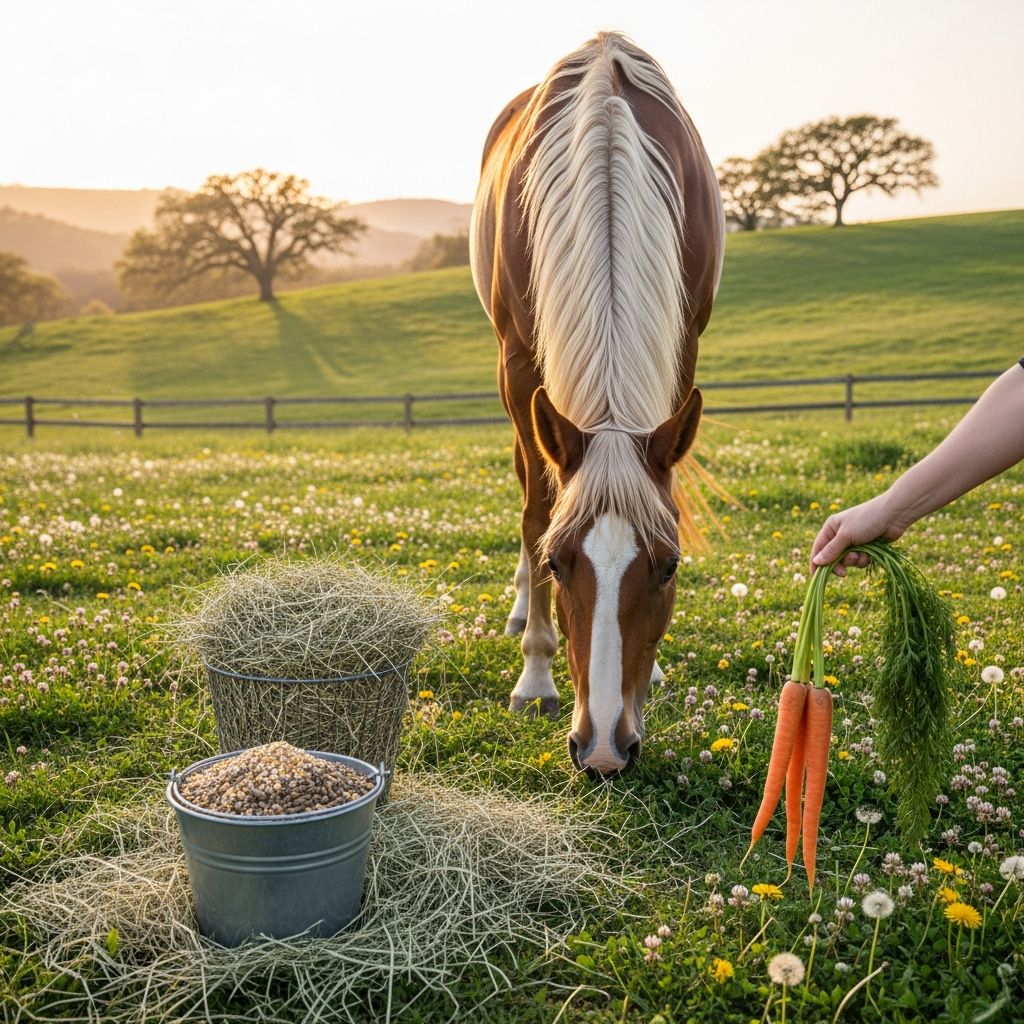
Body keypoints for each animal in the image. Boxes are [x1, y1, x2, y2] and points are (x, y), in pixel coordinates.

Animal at [469, 32, 725, 777]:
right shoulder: (521, 368)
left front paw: (656, 668)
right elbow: (536, 508)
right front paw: (535, 675)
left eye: (669, 566)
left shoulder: (683, 345)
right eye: (560, 563)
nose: (606, 748)